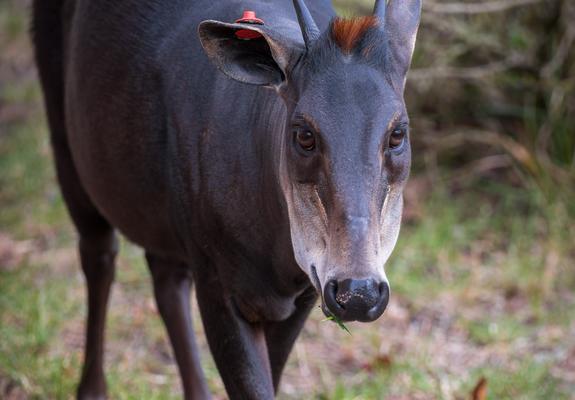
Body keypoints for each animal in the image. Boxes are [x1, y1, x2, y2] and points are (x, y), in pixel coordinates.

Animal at [33, 0, 424, 396]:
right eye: (304, 134)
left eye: (398, 134)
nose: (357, 293)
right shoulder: (216, 280)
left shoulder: (303, 293)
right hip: (66, 138)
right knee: (99, 256)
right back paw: (92, 390)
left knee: (165, 276)